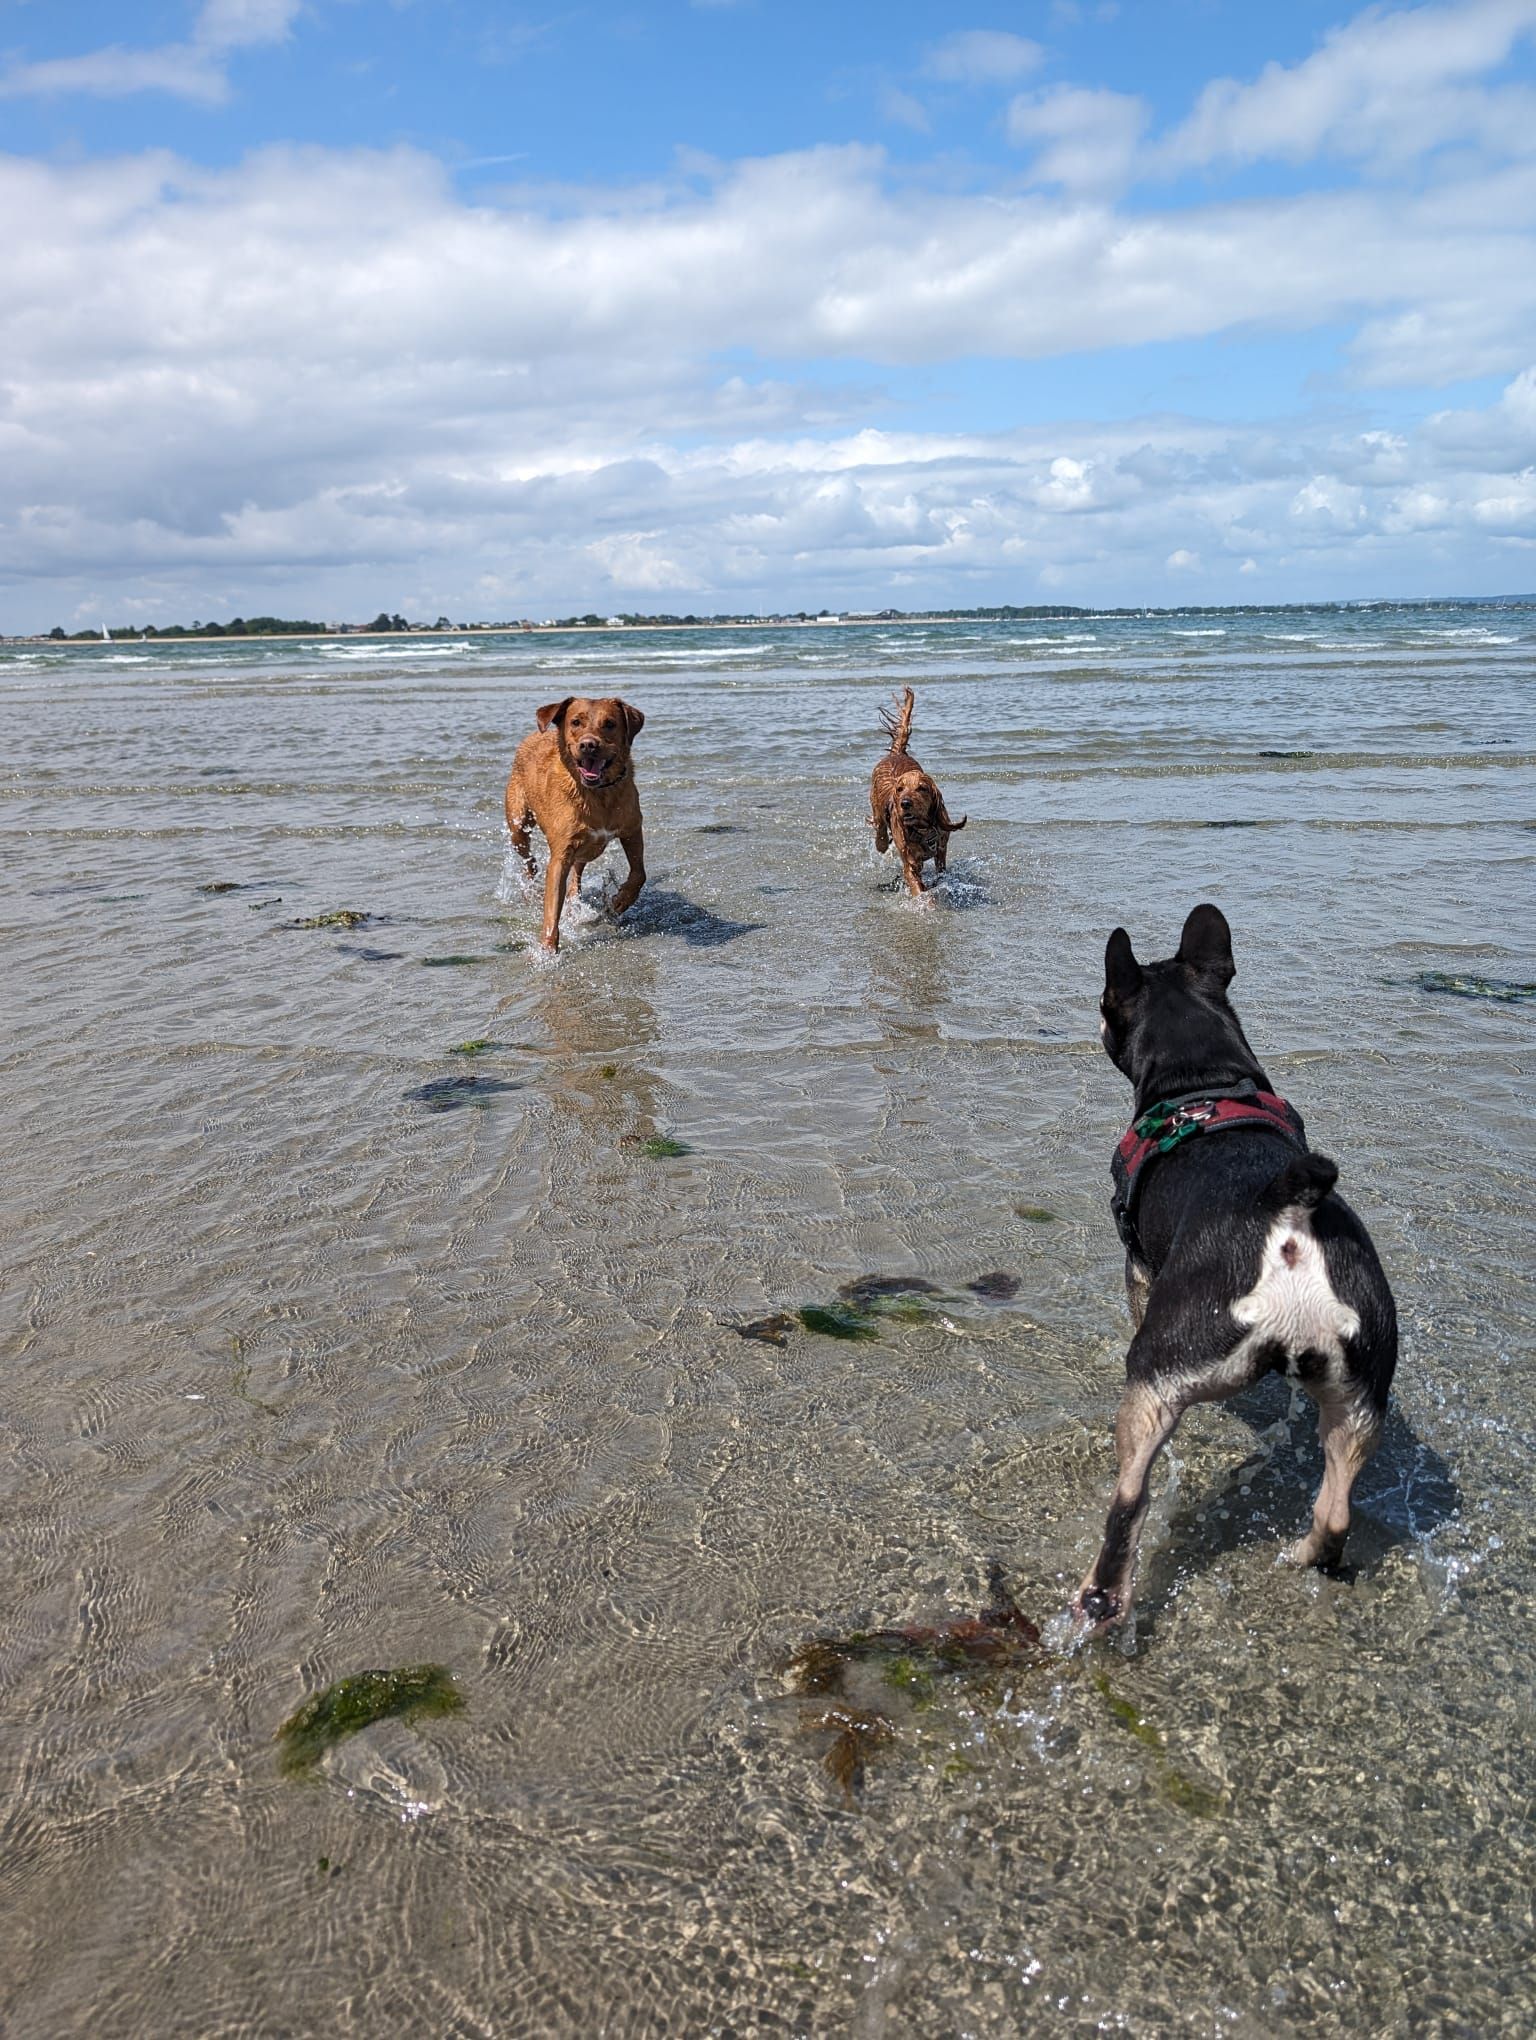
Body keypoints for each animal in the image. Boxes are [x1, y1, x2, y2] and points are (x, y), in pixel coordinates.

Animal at [504, 695, 646, 951]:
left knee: (578, 869)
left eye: (609, 724)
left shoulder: (632, 828)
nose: (589, 745)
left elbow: (639, 873)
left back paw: (574, 898)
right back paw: (531, 888)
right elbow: (551, 910)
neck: (598, 794)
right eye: (575, 722)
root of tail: (535, 734)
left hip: (591, 847)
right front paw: (547, 950)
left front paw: (621, 900)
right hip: (518, 825)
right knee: (529, 860)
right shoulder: (561, 855)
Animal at [869, 687, 965, 896]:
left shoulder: (941, 847)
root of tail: (897, 753)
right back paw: (881, 842)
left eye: (922, 788)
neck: (923, 828)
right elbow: (918, 886)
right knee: (879, 828)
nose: (905, 803)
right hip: (876, 808)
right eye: (899, 789)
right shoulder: (910, 862)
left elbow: (941, 869)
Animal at [1074, 903, 1398, 1631]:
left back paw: (1101, 1596)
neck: (1203, 1078)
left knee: (1128, 1502)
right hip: (1360, 1394)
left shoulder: (1138, 1266)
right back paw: (1308, 1557)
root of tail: (1286, 1214)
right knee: (1335, 1510)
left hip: (1159, 1373)